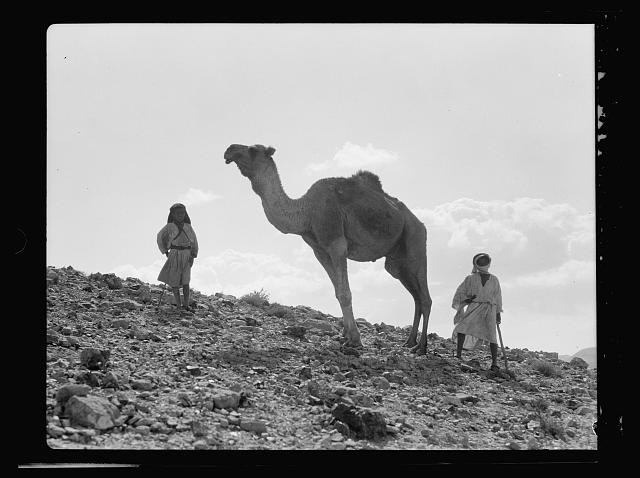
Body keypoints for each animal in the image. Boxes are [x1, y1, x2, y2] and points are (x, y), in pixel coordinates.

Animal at [224, 144, 433, 354]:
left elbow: (345, 293)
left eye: (252, 149)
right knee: (415, 296)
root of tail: (420, 223)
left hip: (415, 240)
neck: (306, 211)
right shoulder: (320, 250)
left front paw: (355, 340)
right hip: (397, 263)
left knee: (425, 298)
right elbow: (337, 291)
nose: (229, 149)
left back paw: (421, 347)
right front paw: (345, 336)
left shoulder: (336, 243)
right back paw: (409, 342)